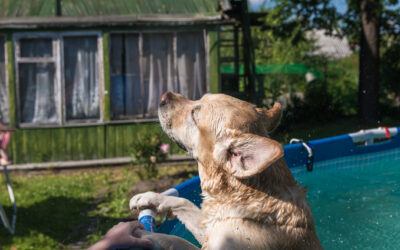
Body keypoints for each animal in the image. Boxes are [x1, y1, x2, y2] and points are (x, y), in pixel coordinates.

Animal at [130, 92, 324, 250]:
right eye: (199, 98)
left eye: (194, 115)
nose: (164, 95)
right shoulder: (210, 226)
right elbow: (184, 201)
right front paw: (151, 197)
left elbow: (175, 240)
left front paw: (142, 234)